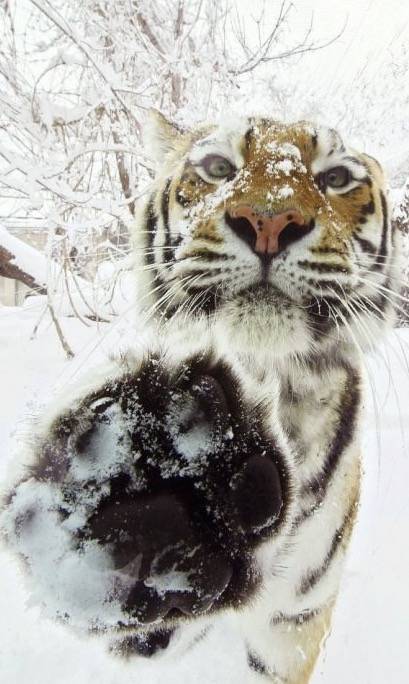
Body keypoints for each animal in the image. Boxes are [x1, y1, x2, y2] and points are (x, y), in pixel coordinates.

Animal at [0, 112, 401, 684]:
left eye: (337, 178)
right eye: (217, 168)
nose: (269, 221)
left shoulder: (294, 622)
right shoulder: (156, 631)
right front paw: (154, 476)